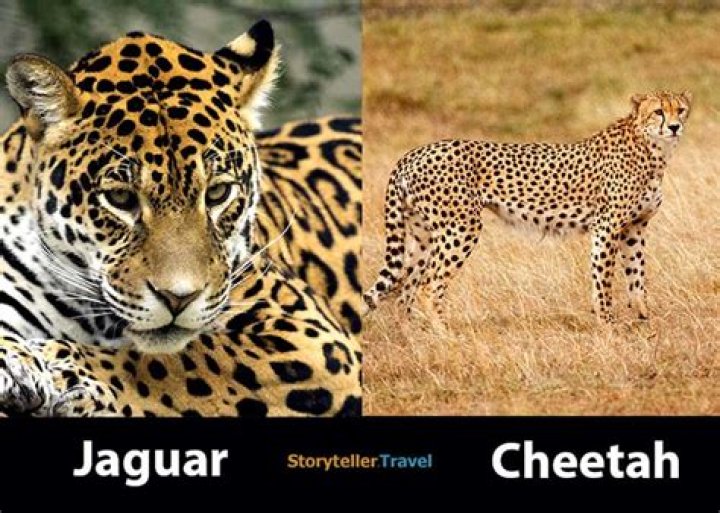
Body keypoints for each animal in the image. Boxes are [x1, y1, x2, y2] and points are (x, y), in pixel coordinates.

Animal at [0, 20, 362, 416]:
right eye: (121, 198)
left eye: (217, 193)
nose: (178, 299)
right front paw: (20, 362)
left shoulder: (313, 338)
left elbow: (171, 362)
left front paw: (65, 368)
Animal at [364, 91, 692, 323]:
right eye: (658, 111)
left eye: (680, 109)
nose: (675, 127)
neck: (652, 149)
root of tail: (413, 153)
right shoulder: (606, 227)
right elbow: (604, 279)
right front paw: (608, 323)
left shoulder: (634, 227)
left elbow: (637, 274)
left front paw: (643, 317)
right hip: (460, 228)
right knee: (427, 286)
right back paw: (445, 336)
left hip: (423, 235)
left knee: (405, 287)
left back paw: (414, 337)